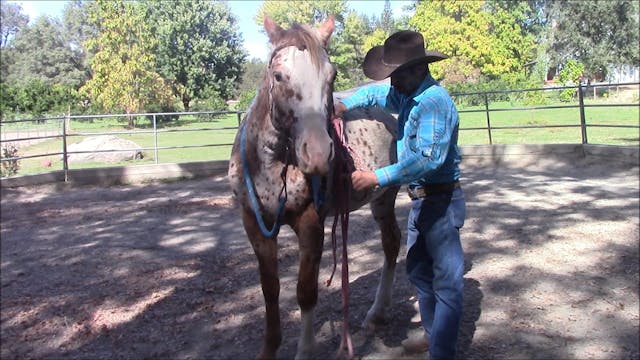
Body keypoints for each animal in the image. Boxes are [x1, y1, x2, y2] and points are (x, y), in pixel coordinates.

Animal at [228, 15, 400, 358]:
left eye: (331, 76)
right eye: (279, 76)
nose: (318, 154)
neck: (272, 165)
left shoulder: (311, 223)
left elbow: (305, 291)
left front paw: (305, 350)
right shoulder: (255, 224)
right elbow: (270, 290)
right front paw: (269, 349)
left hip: (388, 194)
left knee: (392, 244)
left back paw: (376, 312)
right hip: (381, 200)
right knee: (392, 243)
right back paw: (379, 313)